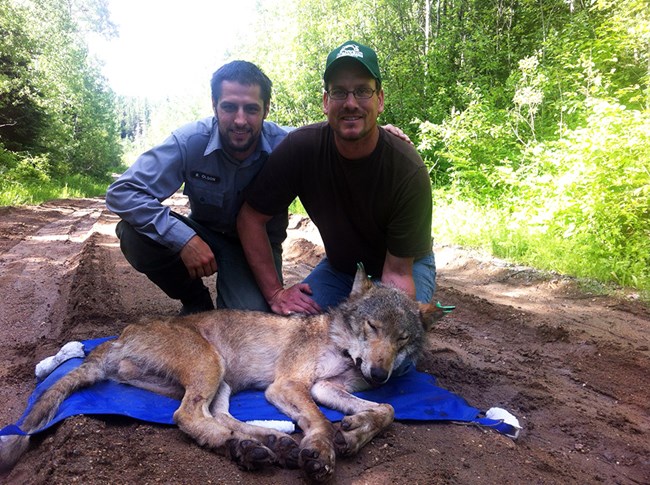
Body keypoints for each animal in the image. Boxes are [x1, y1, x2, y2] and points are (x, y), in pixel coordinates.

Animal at [0, 266, 442, 482]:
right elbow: (317, 419)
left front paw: (352, 432)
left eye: (402, 340)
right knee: (189, 417)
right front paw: (320, 449)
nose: (380, 374)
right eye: (372, 328)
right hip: (211, 365)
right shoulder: (288, 386)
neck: (340, 347)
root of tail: (118, 338)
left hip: (223, 380)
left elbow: (385, 410)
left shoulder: (322, 387)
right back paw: (250, 448)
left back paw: (266, 443)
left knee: (220, 417)